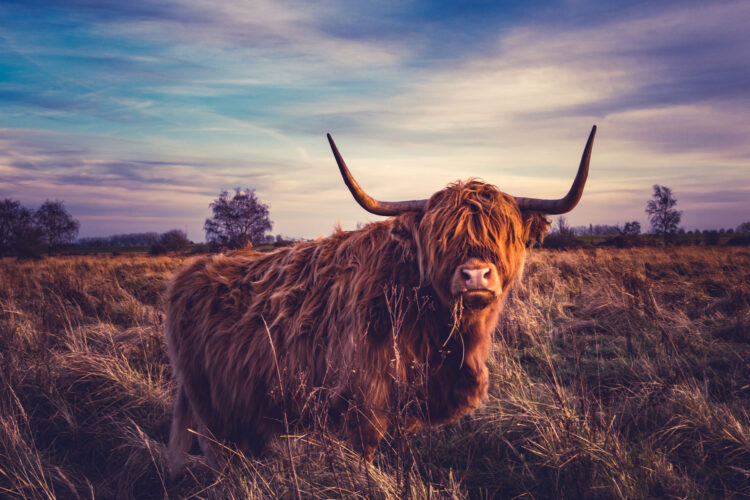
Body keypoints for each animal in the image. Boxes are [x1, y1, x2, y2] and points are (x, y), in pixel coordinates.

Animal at [165, 126, 597, 475]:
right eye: (441, 237)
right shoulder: (363, 405)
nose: (475, 275)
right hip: (208, 405)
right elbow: (366, 459)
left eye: (504, 234)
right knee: (219, 453)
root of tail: (193, 270)